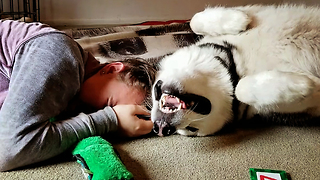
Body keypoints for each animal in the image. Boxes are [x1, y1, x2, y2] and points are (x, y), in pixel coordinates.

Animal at [151, 3, 320, 136]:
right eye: (192, 129)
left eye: (154, 91)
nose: (161, 128)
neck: (233, 67)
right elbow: (240, 89)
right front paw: (298, 87)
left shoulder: (257, 11)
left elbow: (193, 21)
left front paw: (236, 20)